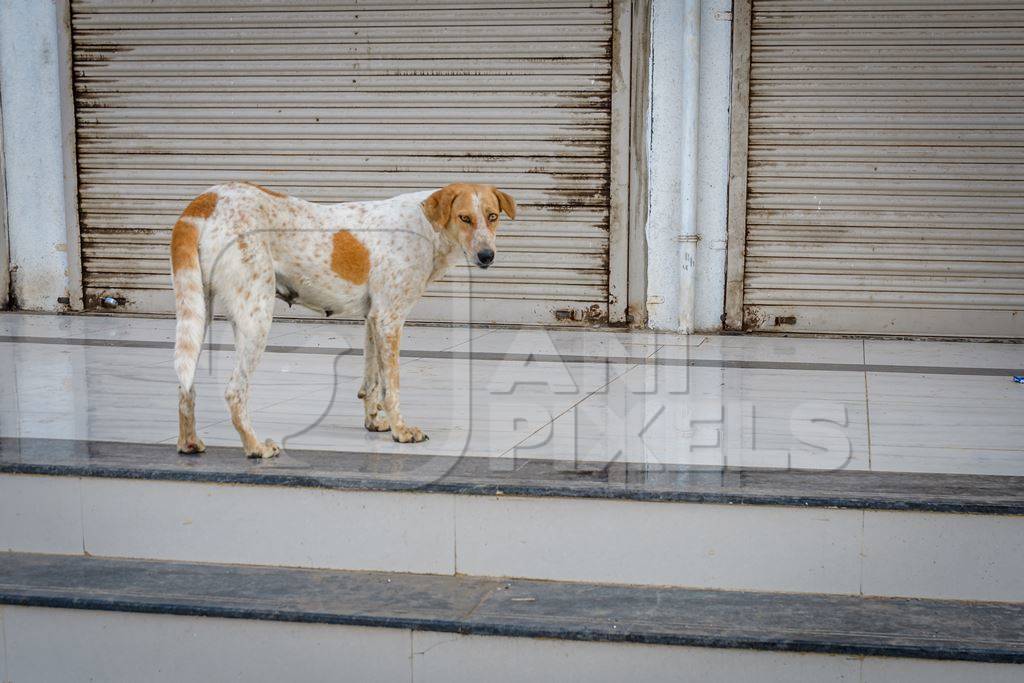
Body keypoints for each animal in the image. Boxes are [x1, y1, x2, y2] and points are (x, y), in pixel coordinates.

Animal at [174, 181, 520, 458]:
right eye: (465, 218)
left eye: (492, 216)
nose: (487, 256)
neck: (426, 226)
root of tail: (206, 199)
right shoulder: (390, 319)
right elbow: (391, 386)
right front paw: (401, 431)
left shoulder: (373, 318)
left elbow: (371, 381)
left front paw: (374, 423)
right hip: (255, 316)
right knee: (235, 392)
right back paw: (255, 447)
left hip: (197, 312)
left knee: (185, 384)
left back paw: (189, 443)